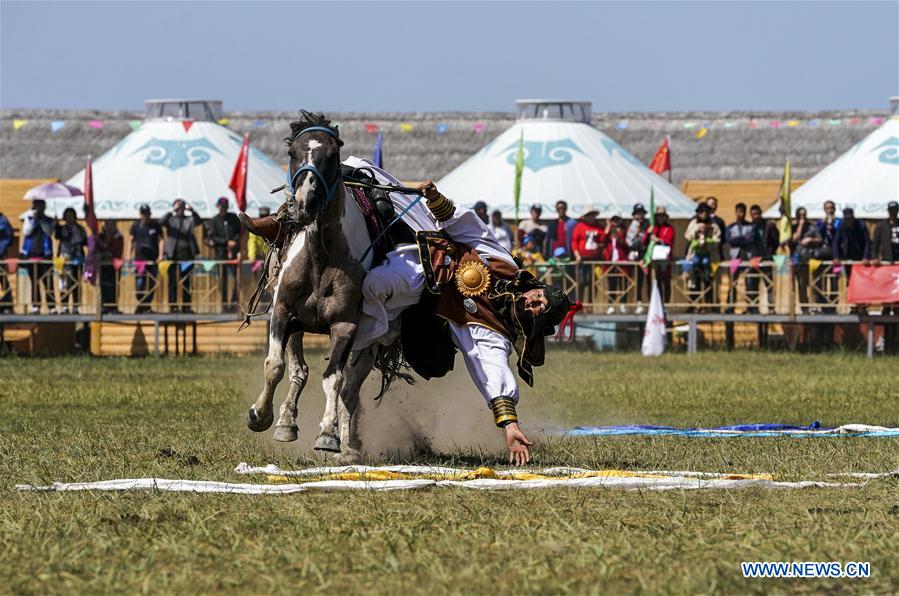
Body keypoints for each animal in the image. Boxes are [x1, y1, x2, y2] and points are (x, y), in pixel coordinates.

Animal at [246, 110, 384, 456]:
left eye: (332, 155)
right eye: (292, 152)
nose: (303, 204)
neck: (321, 260)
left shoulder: (346, 326)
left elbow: (334, 379)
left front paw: (329, 434)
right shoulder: (282, 311)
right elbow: (275, 365)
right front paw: (261, 416)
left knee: (351, 385)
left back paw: (349, 444)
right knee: (299, 370)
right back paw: (285, 423)